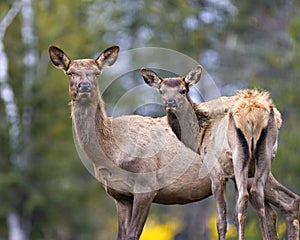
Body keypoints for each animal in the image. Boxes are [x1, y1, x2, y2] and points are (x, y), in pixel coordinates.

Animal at [141, 66, 300, 240]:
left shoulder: (215, 170)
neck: (200, 136)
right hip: (263, 156)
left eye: (183, 90)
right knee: (269, 196)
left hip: (239, 154)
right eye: (161, 90)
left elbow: (221, 220)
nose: (170, 103)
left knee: (246, 198)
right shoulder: (233, 175)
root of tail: (252, 114)